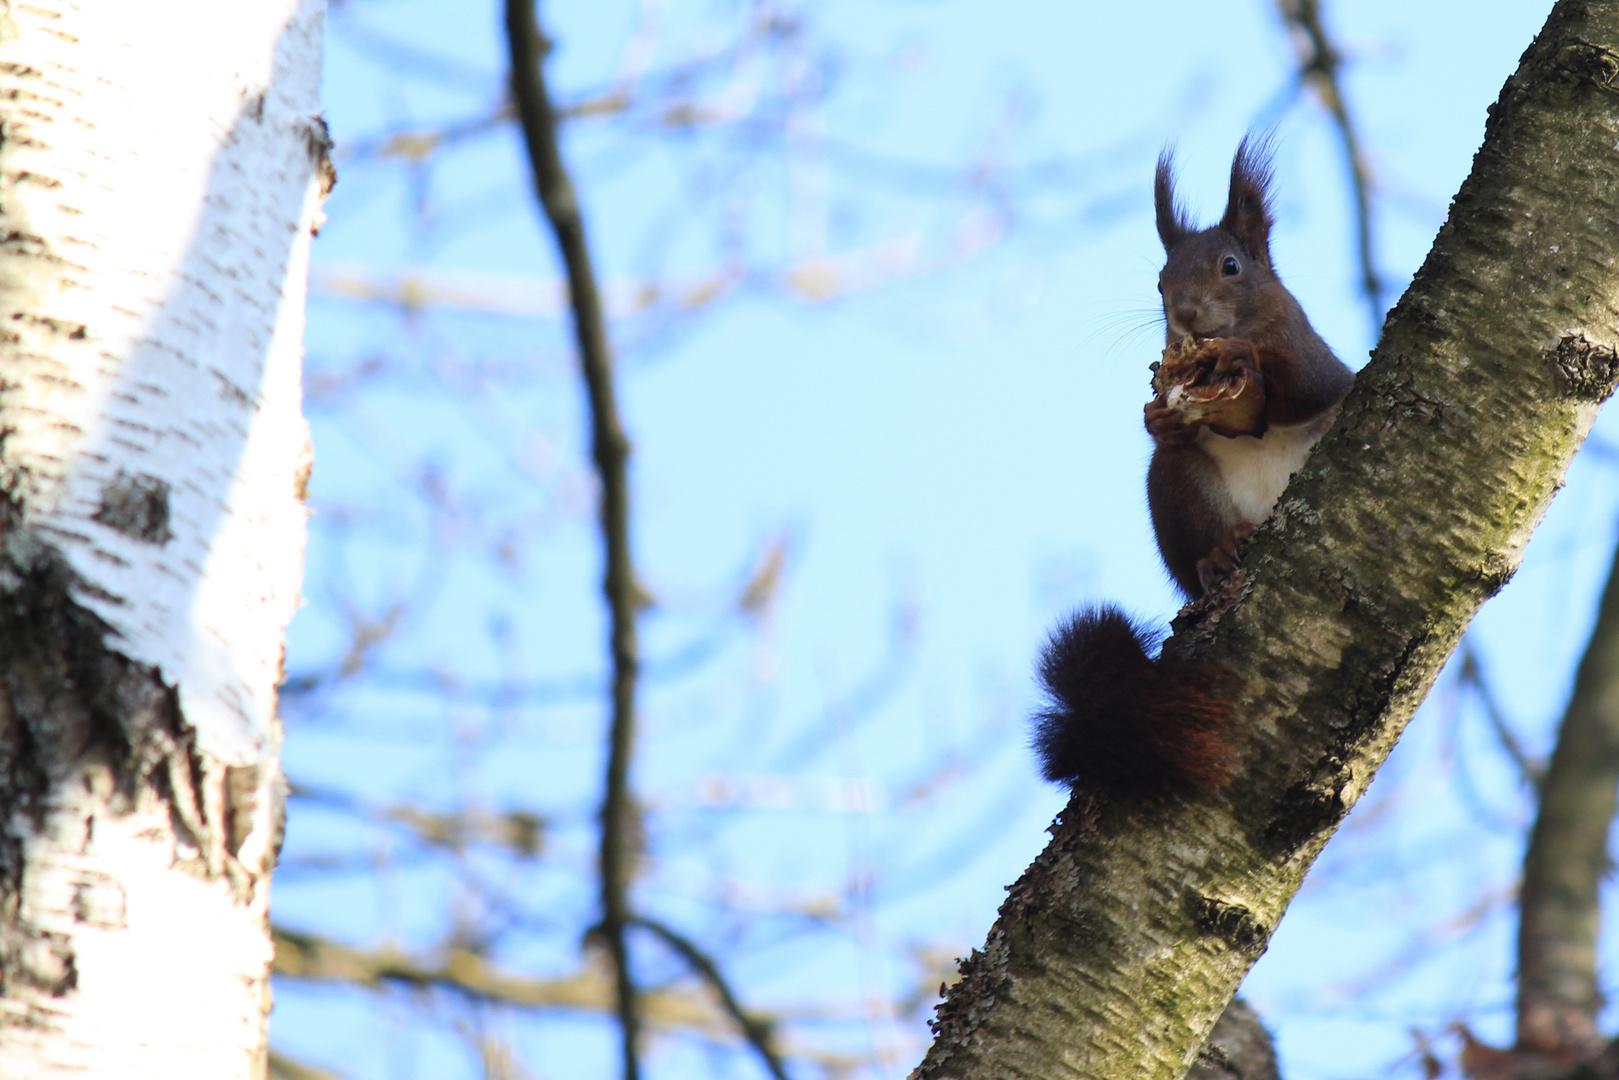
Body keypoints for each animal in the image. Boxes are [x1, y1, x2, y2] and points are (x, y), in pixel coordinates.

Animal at [1029, 137, 1359, 793]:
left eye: (1231, 267)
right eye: (1159, 281)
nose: (1182, 313)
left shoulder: (1310, 352)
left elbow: (1306, 384)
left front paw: (1243, 356)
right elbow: (1163, 422)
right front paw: (1160, 421)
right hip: (1176, 488)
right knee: (1193, 542)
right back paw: (1219, 553)